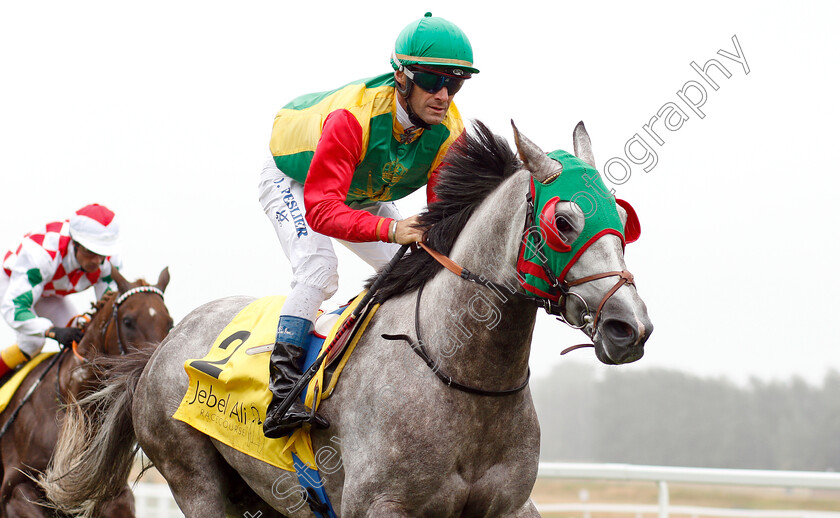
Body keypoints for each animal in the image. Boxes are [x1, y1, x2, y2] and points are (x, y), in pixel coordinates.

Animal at [42, 121, 652, 516]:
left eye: (623, 216)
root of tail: (160, 349)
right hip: (194, 478)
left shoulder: (509, 506)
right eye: (564, 221)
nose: (630, 327)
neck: (462, 377)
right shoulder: (380, 505)